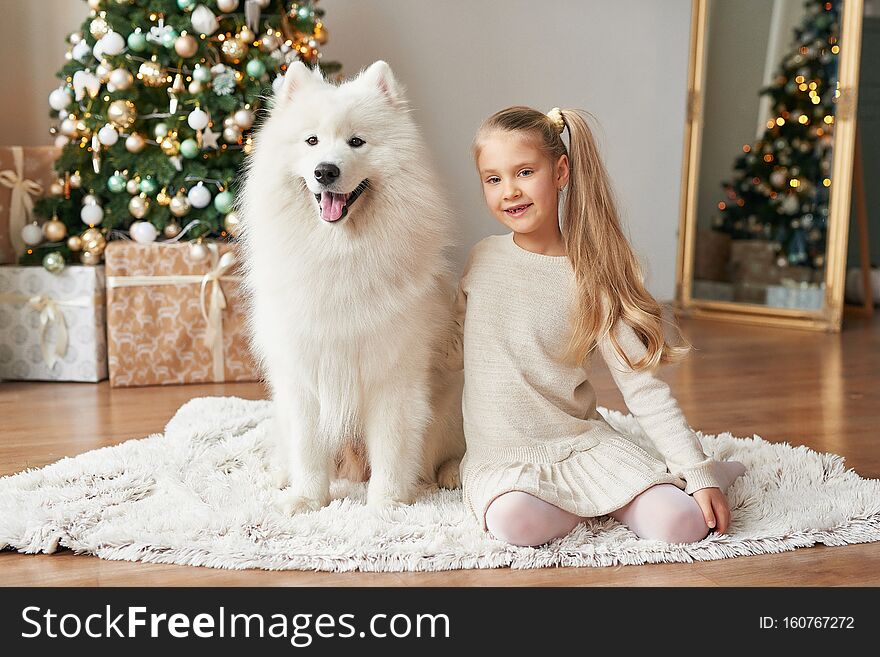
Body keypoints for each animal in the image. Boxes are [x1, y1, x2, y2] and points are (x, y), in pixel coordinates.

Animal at [237, 60, 464, 512]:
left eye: (357, 142)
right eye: (311, 141)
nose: (326, 170)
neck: (338, 254)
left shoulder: (393, 375)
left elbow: (392, 448)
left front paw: (386, 506)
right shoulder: (304, 375)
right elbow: (308, 448)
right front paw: (307, 501)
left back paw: (451, 474)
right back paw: (281, 476)